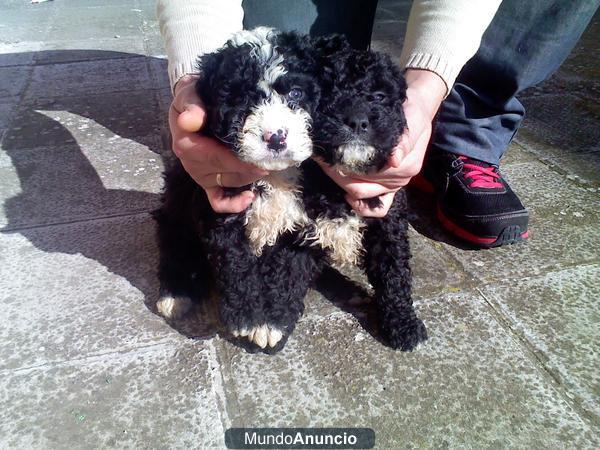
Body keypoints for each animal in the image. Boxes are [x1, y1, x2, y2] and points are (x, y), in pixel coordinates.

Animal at [156, 28, 324, 352]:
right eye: (241, 98)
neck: (272, 177)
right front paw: (249, 318)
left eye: (296, 94)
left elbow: (289, 270)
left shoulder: (300, 225)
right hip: (176, 210)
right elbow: (236, 266)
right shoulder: (219, 214)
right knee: (175, 246)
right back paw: (176, 292)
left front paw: (274, 321)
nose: (275, 138)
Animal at [302, 38, 428, 350]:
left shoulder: (388, 219)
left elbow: (394, 272)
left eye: (380, 96)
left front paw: (403, 323)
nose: (357, 121)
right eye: (328, 94)